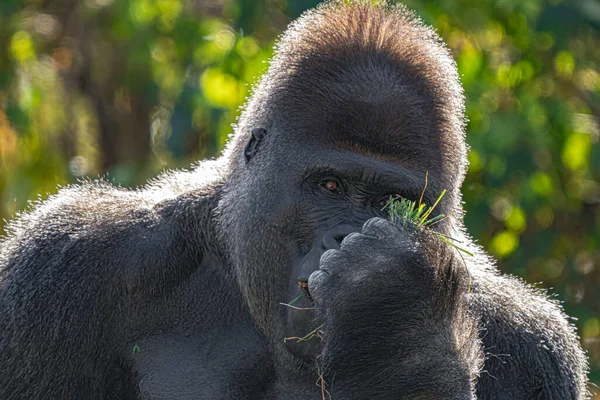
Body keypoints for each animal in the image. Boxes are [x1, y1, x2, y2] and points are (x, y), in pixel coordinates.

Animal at [0, 1, 588, 398]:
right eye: (329, 187)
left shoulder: (533, 346)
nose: (344, 235)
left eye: (390, 201)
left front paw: (401, 315)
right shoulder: (65, 261)